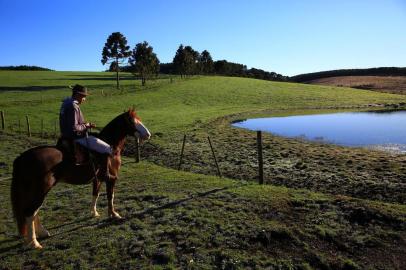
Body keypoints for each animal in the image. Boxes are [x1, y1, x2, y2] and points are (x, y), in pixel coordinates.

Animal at [10, 109, 151, 249]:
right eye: (132, 121)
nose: (148, 134)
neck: (111, 146)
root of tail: (22, 158)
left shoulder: (97, 179)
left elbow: (95, 194)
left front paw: (94, 213)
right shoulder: (111, 179)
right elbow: (110, 196)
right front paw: (113, 214)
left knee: (34, 212)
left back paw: (42, 233)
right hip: (40, 191)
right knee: (30, 212)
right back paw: (34, 243)